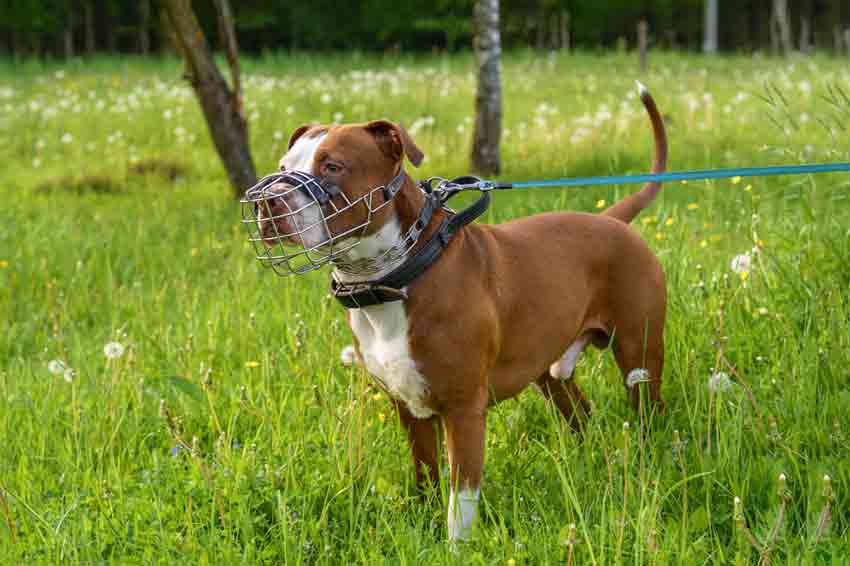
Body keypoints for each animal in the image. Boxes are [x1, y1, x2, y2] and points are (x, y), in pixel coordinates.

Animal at [248, 83, 664, 540]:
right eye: (283, 166)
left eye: (333, 166)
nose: (268, 202)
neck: (394, 276)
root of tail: (613, 220)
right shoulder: (410, 408)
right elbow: (426, 475)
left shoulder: (463, 410)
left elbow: (460, 499)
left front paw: (455, 545)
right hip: (549, 372)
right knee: (580, 414)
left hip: (639, 353)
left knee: (650, 410)